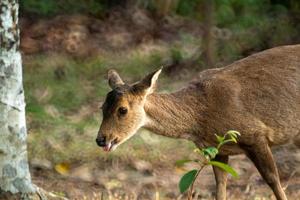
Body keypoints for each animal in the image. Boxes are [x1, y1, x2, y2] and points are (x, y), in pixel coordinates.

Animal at [96, 45, 300, 200]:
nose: (100, 139)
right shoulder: (218, 149)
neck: (200, 117)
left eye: (122, 109)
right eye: (102, 107)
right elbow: (220, 188)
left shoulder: (255, 134)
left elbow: (273, 180)